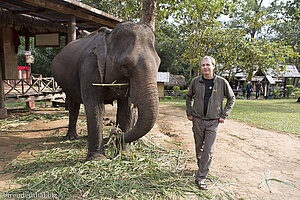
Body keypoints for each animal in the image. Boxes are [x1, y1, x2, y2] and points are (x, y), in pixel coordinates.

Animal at [50, 21, 161, 160]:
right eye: (125, 65)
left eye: (159, 63)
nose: (115, 131)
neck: (109, 36)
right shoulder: (90, 67)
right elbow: (96, 108)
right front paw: (98, 159)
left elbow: (126, 109)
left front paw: (124, 155)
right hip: (66, 83)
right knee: (73, 104)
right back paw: (72, 137)